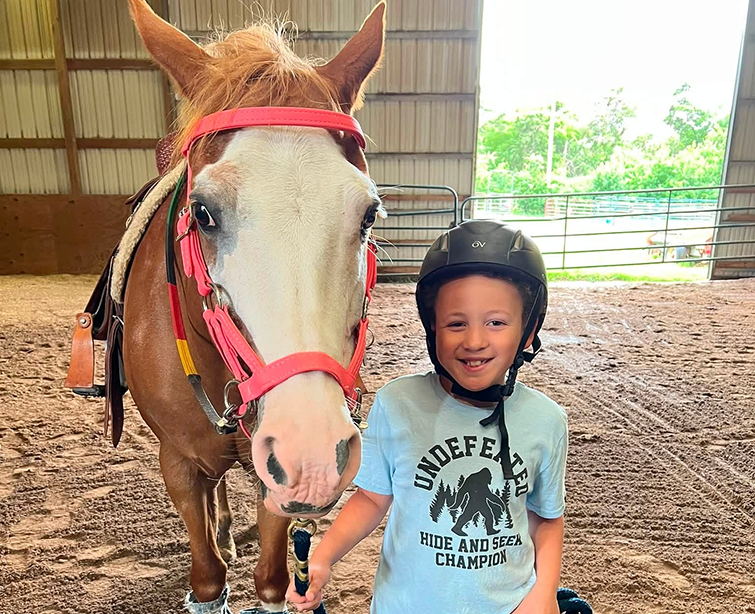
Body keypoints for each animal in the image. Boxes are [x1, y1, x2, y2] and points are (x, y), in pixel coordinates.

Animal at [121, 1, 386, 611]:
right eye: (203, 211)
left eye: (368, 214)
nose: (313, 451)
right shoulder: (177, 462)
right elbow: (207, 578)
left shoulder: (276, 478)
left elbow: (271, 580)